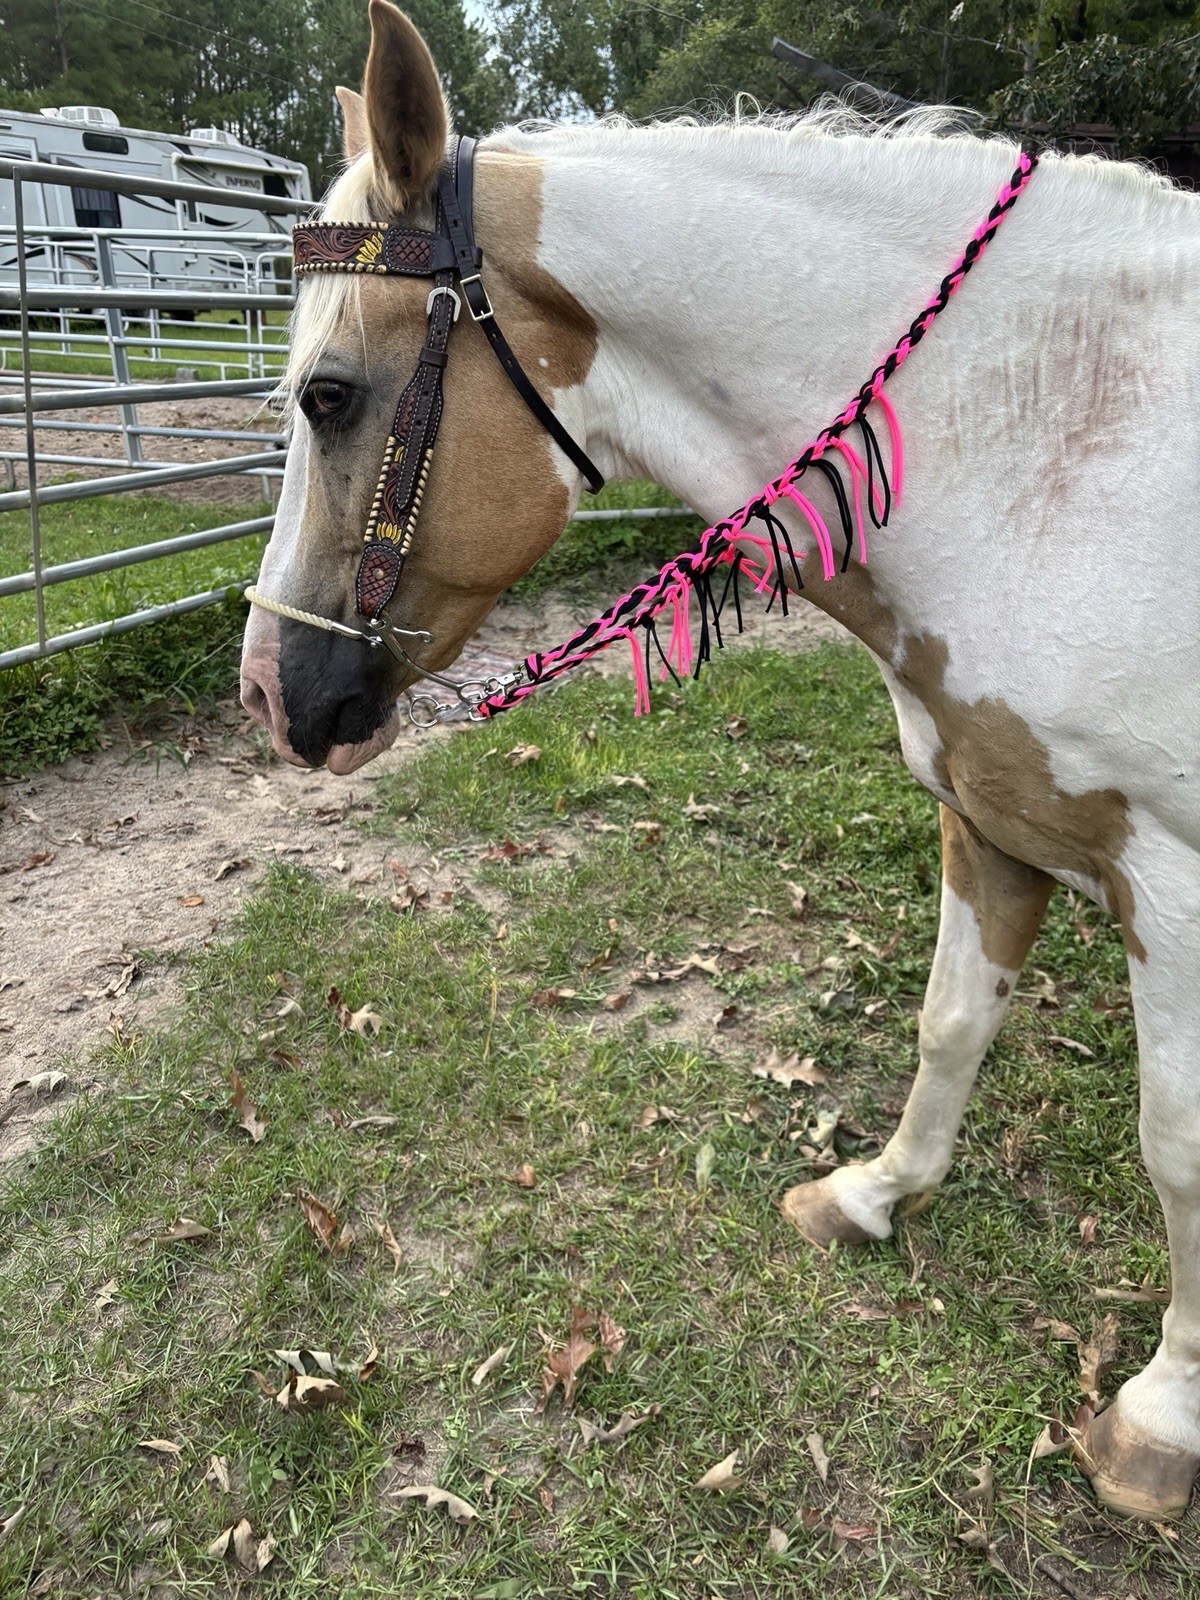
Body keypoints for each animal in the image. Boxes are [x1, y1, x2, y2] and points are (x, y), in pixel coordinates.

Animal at [240, 0, 1200, 1522]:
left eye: (328, 396)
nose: (272, 693)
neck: (1054, 450)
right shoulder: (993, 817)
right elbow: (949, 1024)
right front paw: (871, 1197)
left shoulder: (1171, 881)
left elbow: (1178, 1149)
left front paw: (1163, 1417)